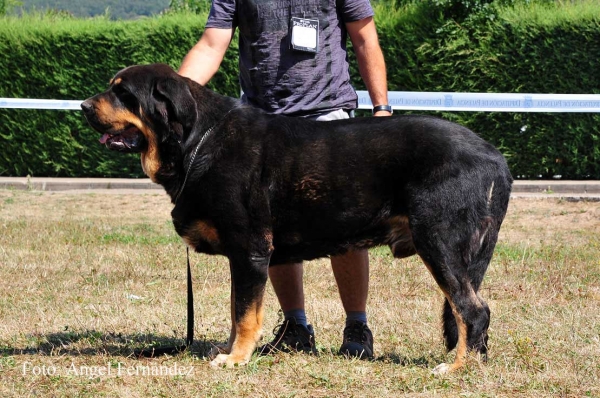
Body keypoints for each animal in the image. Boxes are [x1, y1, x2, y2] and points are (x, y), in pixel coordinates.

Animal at [79, 63, 510, 374]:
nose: (83, 106)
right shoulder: (243, 258)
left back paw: (458, 367)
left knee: (472, 309)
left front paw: (236, 359)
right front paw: (231, 349)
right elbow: (237, 309)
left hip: (438, 242)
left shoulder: (250, 249)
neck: (197, 140)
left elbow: (245, 313)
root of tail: (495, 156)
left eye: (123, 93)